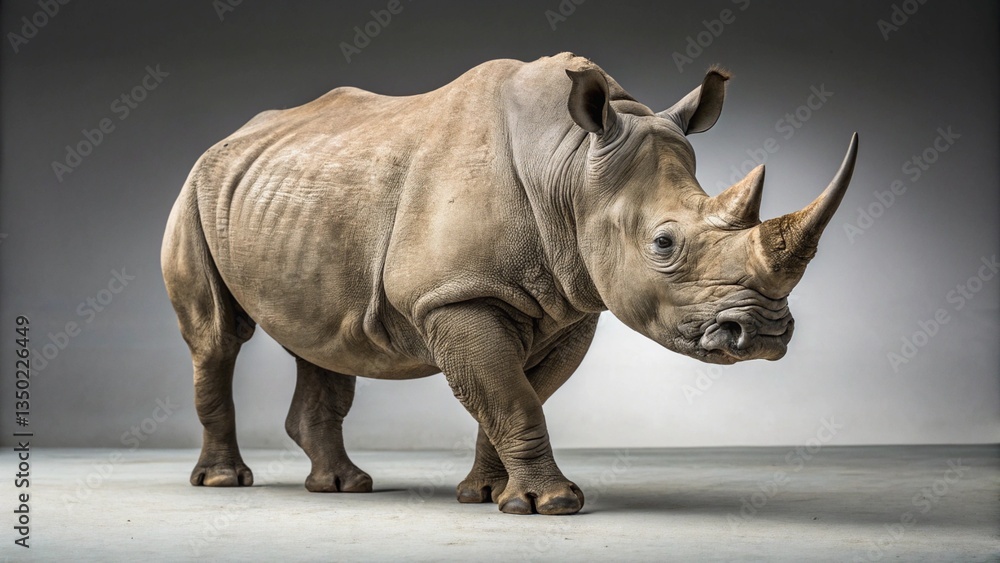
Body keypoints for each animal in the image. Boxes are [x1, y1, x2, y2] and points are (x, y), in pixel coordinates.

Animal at [161, 52, 857, 515]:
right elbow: (510, 395)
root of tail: (229, 139)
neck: (573, 167)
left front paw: (489, 495)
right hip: (195, 190)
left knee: (324, 341)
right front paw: (553, 505)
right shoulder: (454, 294)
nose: (763, 334)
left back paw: (344, 487)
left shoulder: (571, 302)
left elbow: (514, 393)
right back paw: (225, 483)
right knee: (217, 337)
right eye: (664, 244)